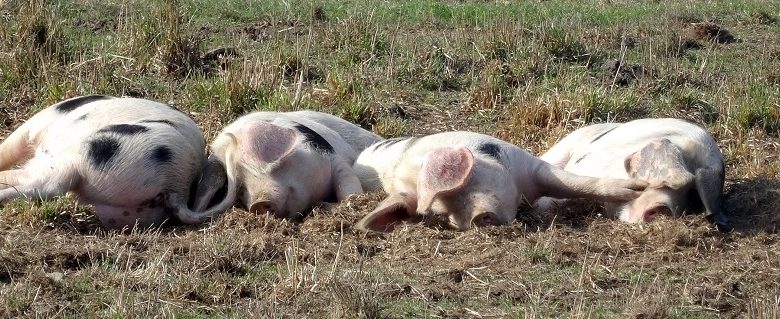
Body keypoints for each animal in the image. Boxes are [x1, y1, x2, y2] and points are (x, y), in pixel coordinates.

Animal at [192, 110, 380, 220]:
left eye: (267, 168)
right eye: (241, 188)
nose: (258, 204)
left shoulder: (332, 158)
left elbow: (347, 185)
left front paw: (349, 203)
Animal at [352, 131, 644, 231]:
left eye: (464, 184)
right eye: (441, 214)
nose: (477, 218)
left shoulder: (529, 165)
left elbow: (569, 182)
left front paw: (636, 191)